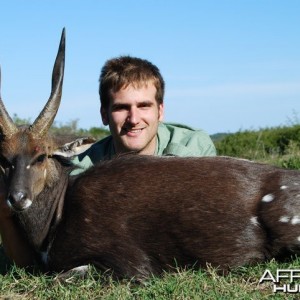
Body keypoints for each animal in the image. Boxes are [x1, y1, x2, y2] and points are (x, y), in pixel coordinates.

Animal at [0, 28, 300, 282]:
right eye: (4, 160)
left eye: (41, 156)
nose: (17, 198)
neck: (58, 214)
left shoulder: (131, 265)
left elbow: (65, 275)